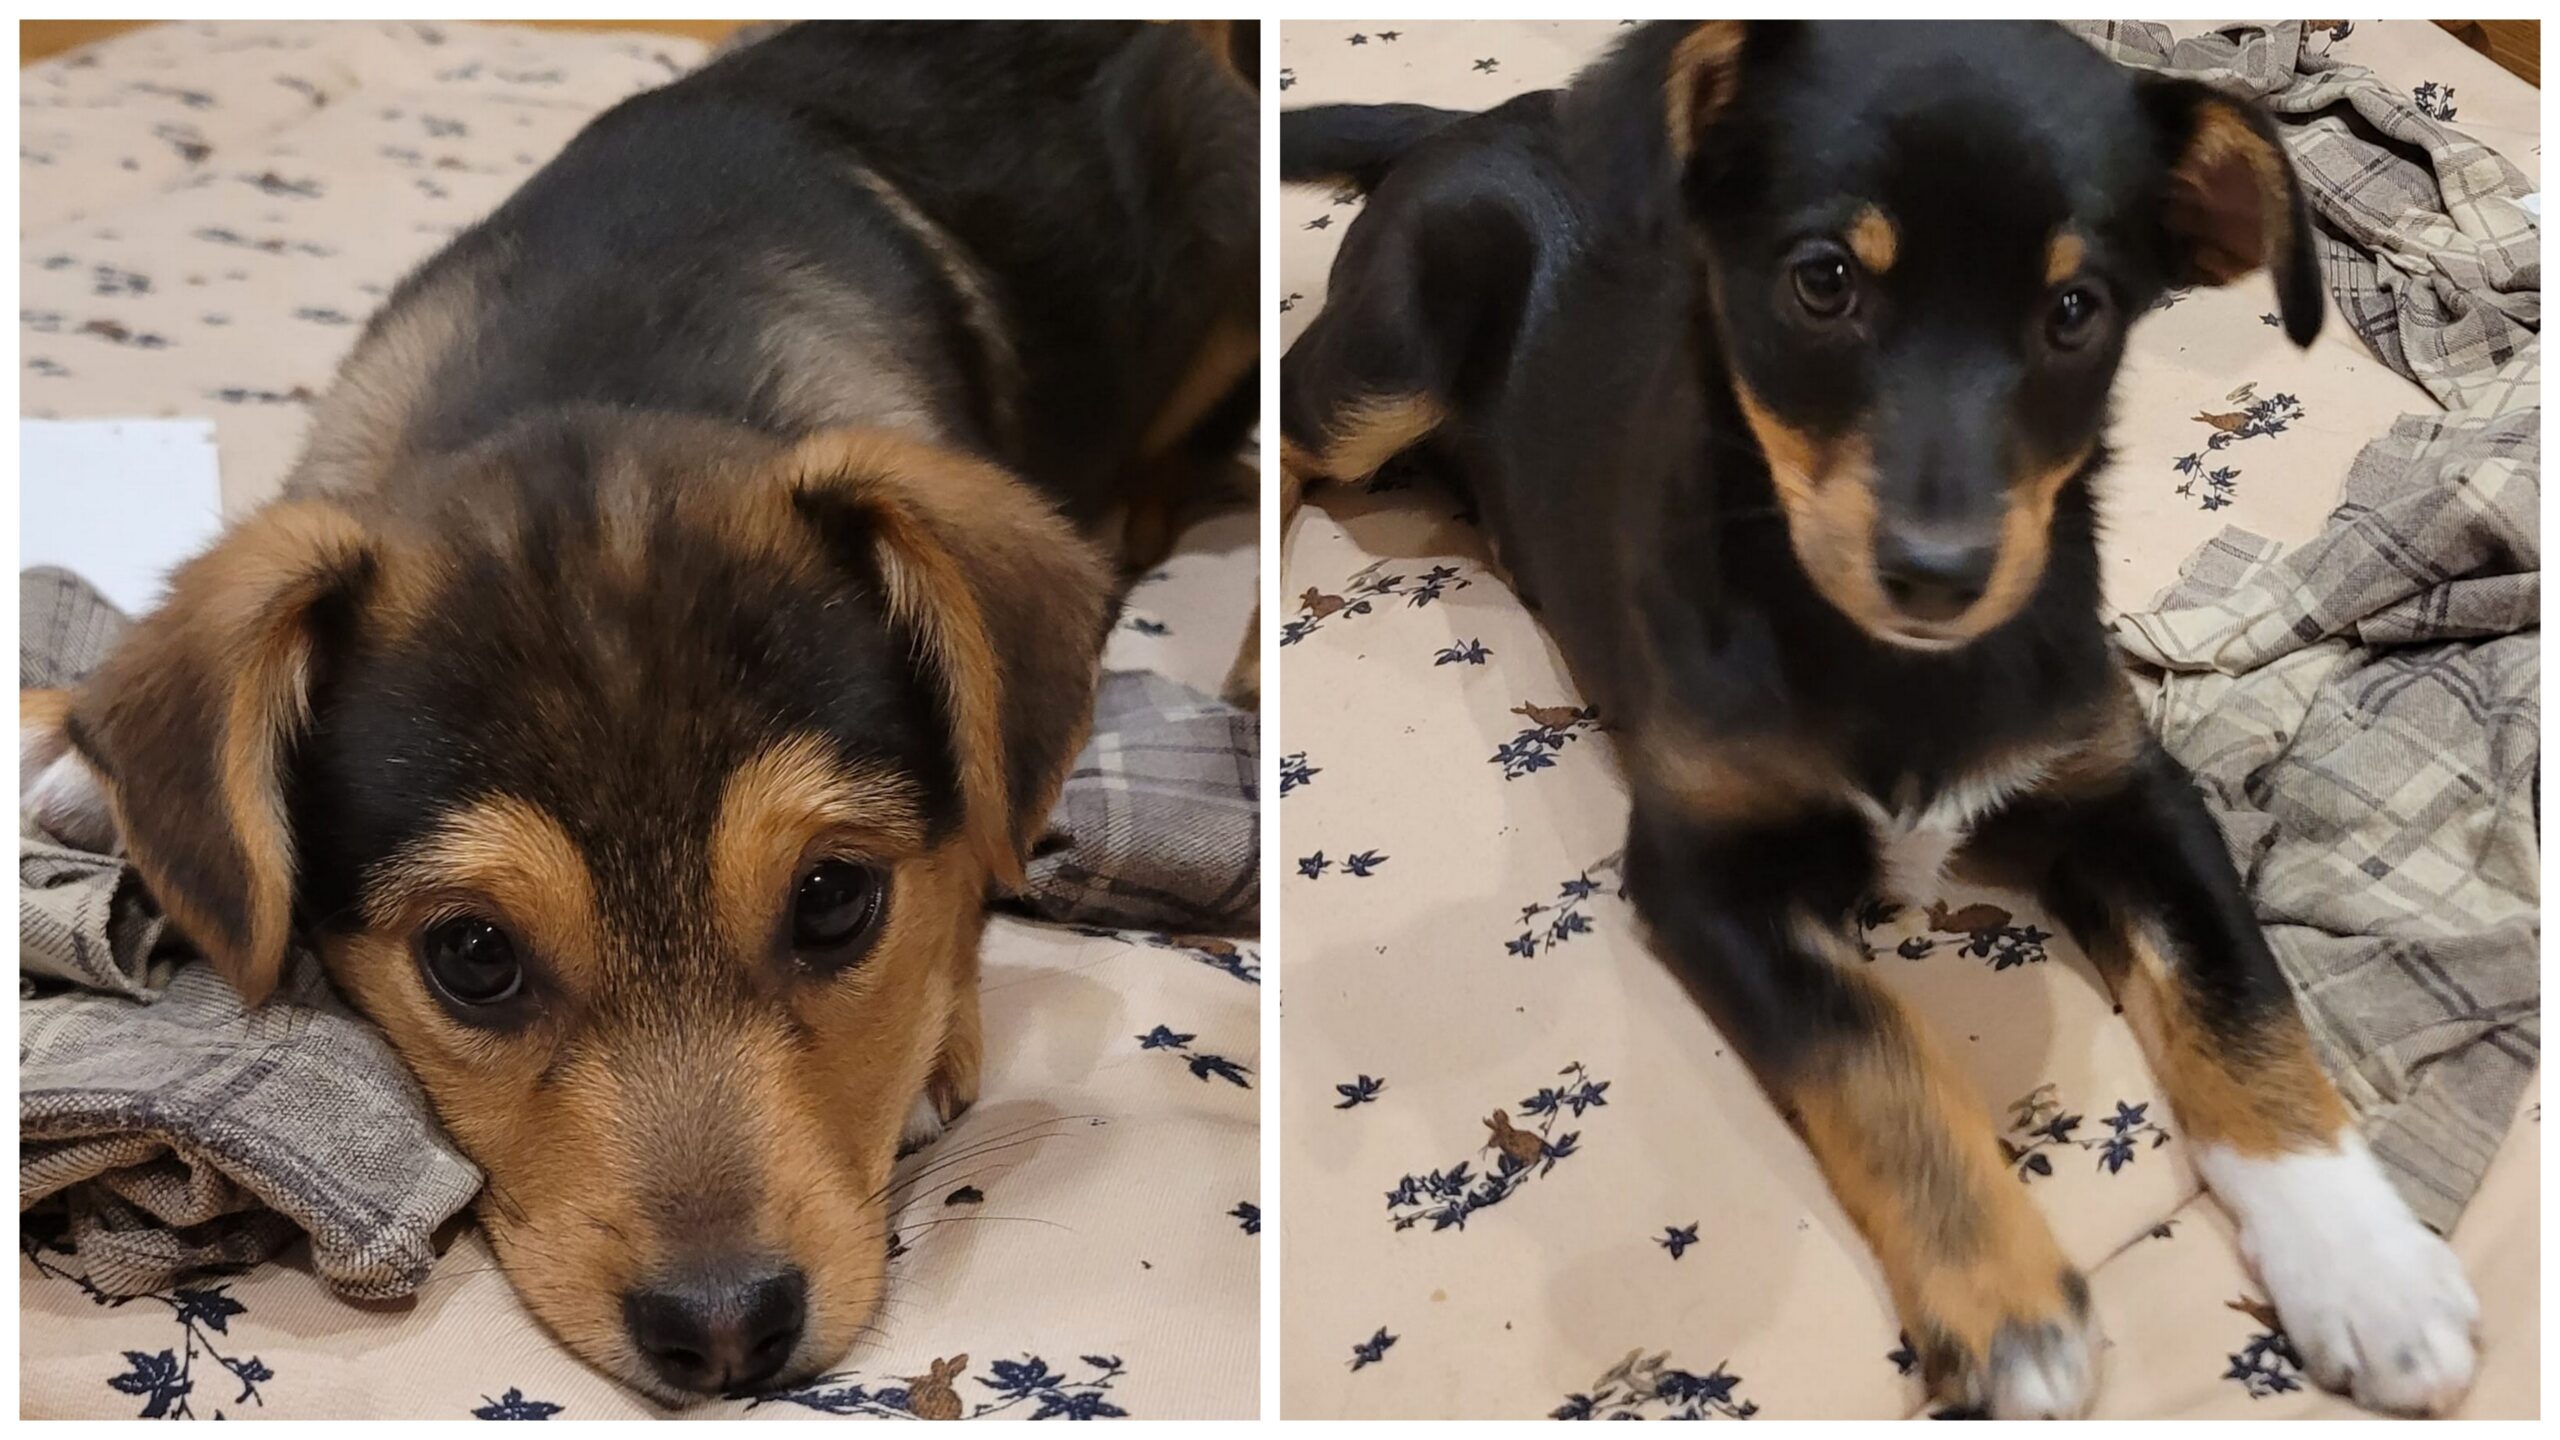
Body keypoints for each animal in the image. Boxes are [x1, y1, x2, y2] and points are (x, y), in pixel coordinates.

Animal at [22, 20, 1254, 1402]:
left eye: (836, 899)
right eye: (472, 956)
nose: (722, 1335)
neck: (599, 360)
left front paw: (932, 1051)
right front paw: (77, 769)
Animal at [1279, 21, 2476, 1419]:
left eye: (2075, 311)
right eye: (1822, 282)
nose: (1939, 573)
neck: (1893, 667)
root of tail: (1472, 123)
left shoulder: (2128, 790)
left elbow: (2240, 997)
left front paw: (2365, 1265)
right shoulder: (1706, 868)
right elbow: (1878, 1050)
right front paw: (2009, 1309)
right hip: (1390, 358)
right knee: (1289, 422)